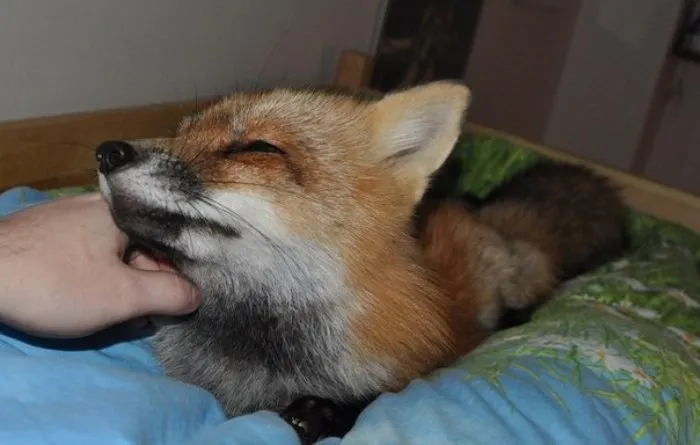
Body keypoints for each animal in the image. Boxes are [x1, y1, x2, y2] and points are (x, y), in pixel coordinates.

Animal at [95, 81, 627, 444]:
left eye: (258, 147)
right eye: (179, 133)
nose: (106, 151)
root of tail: (472, 211)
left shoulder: (407, 373)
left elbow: (368, 402)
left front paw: (321, 414)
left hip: (507, 277)